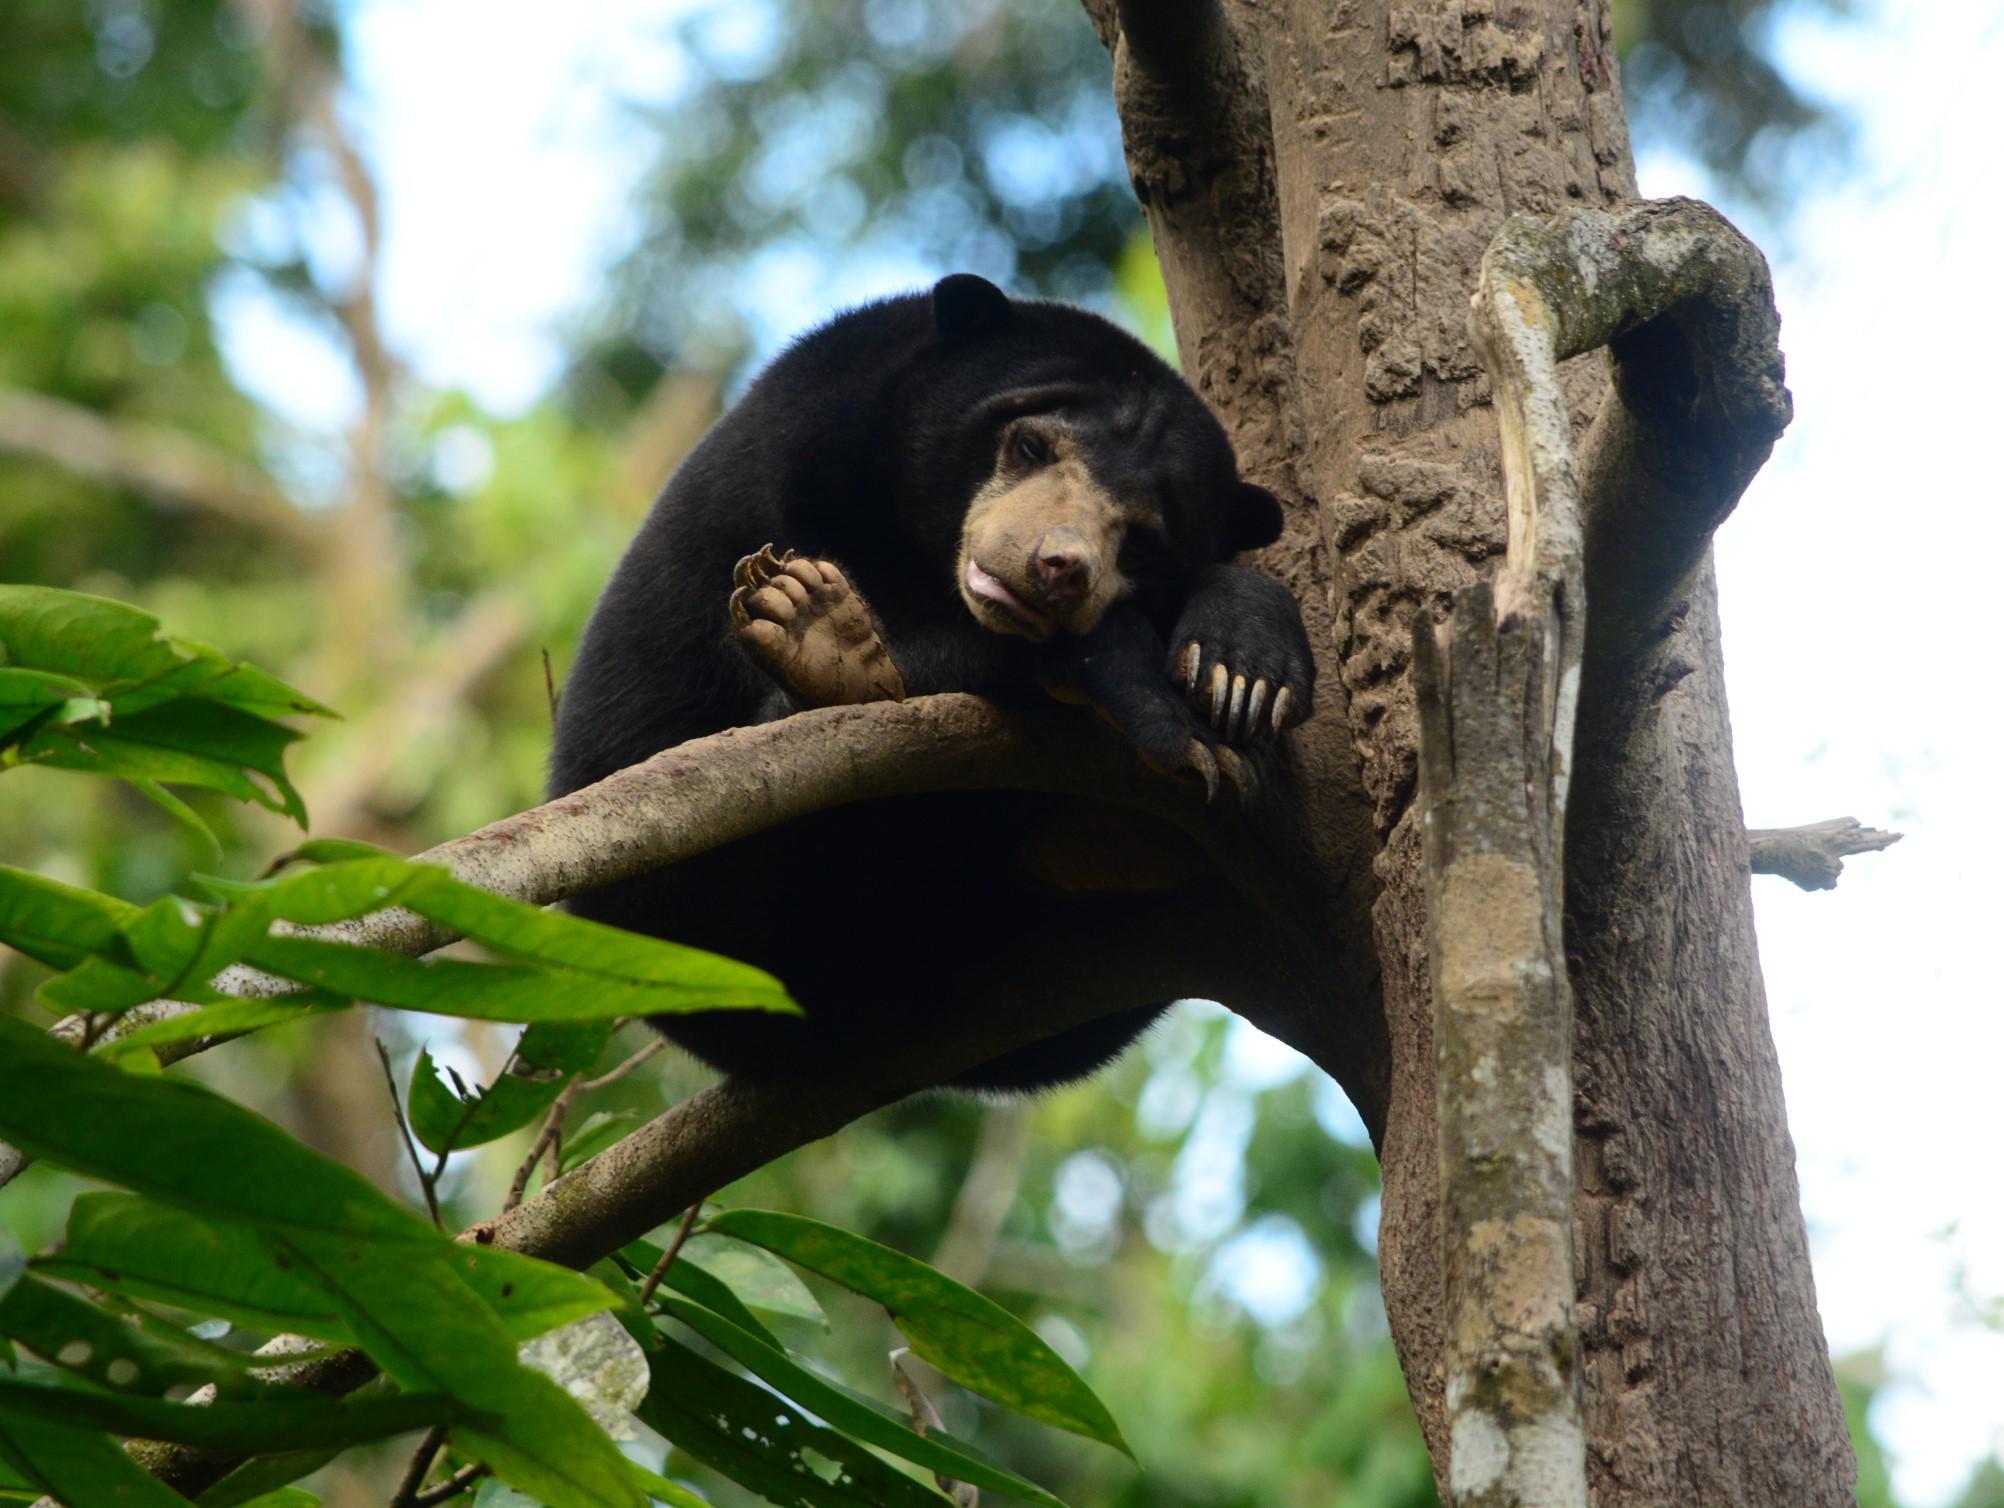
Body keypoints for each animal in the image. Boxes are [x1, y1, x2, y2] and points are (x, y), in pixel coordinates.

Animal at [549, 273, 1314, 1091]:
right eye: (1031, 445)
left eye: (1142, 538)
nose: (1058, 568)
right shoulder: (804, 461)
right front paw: (1154, 706)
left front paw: (1244, 668)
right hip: (707, 904)